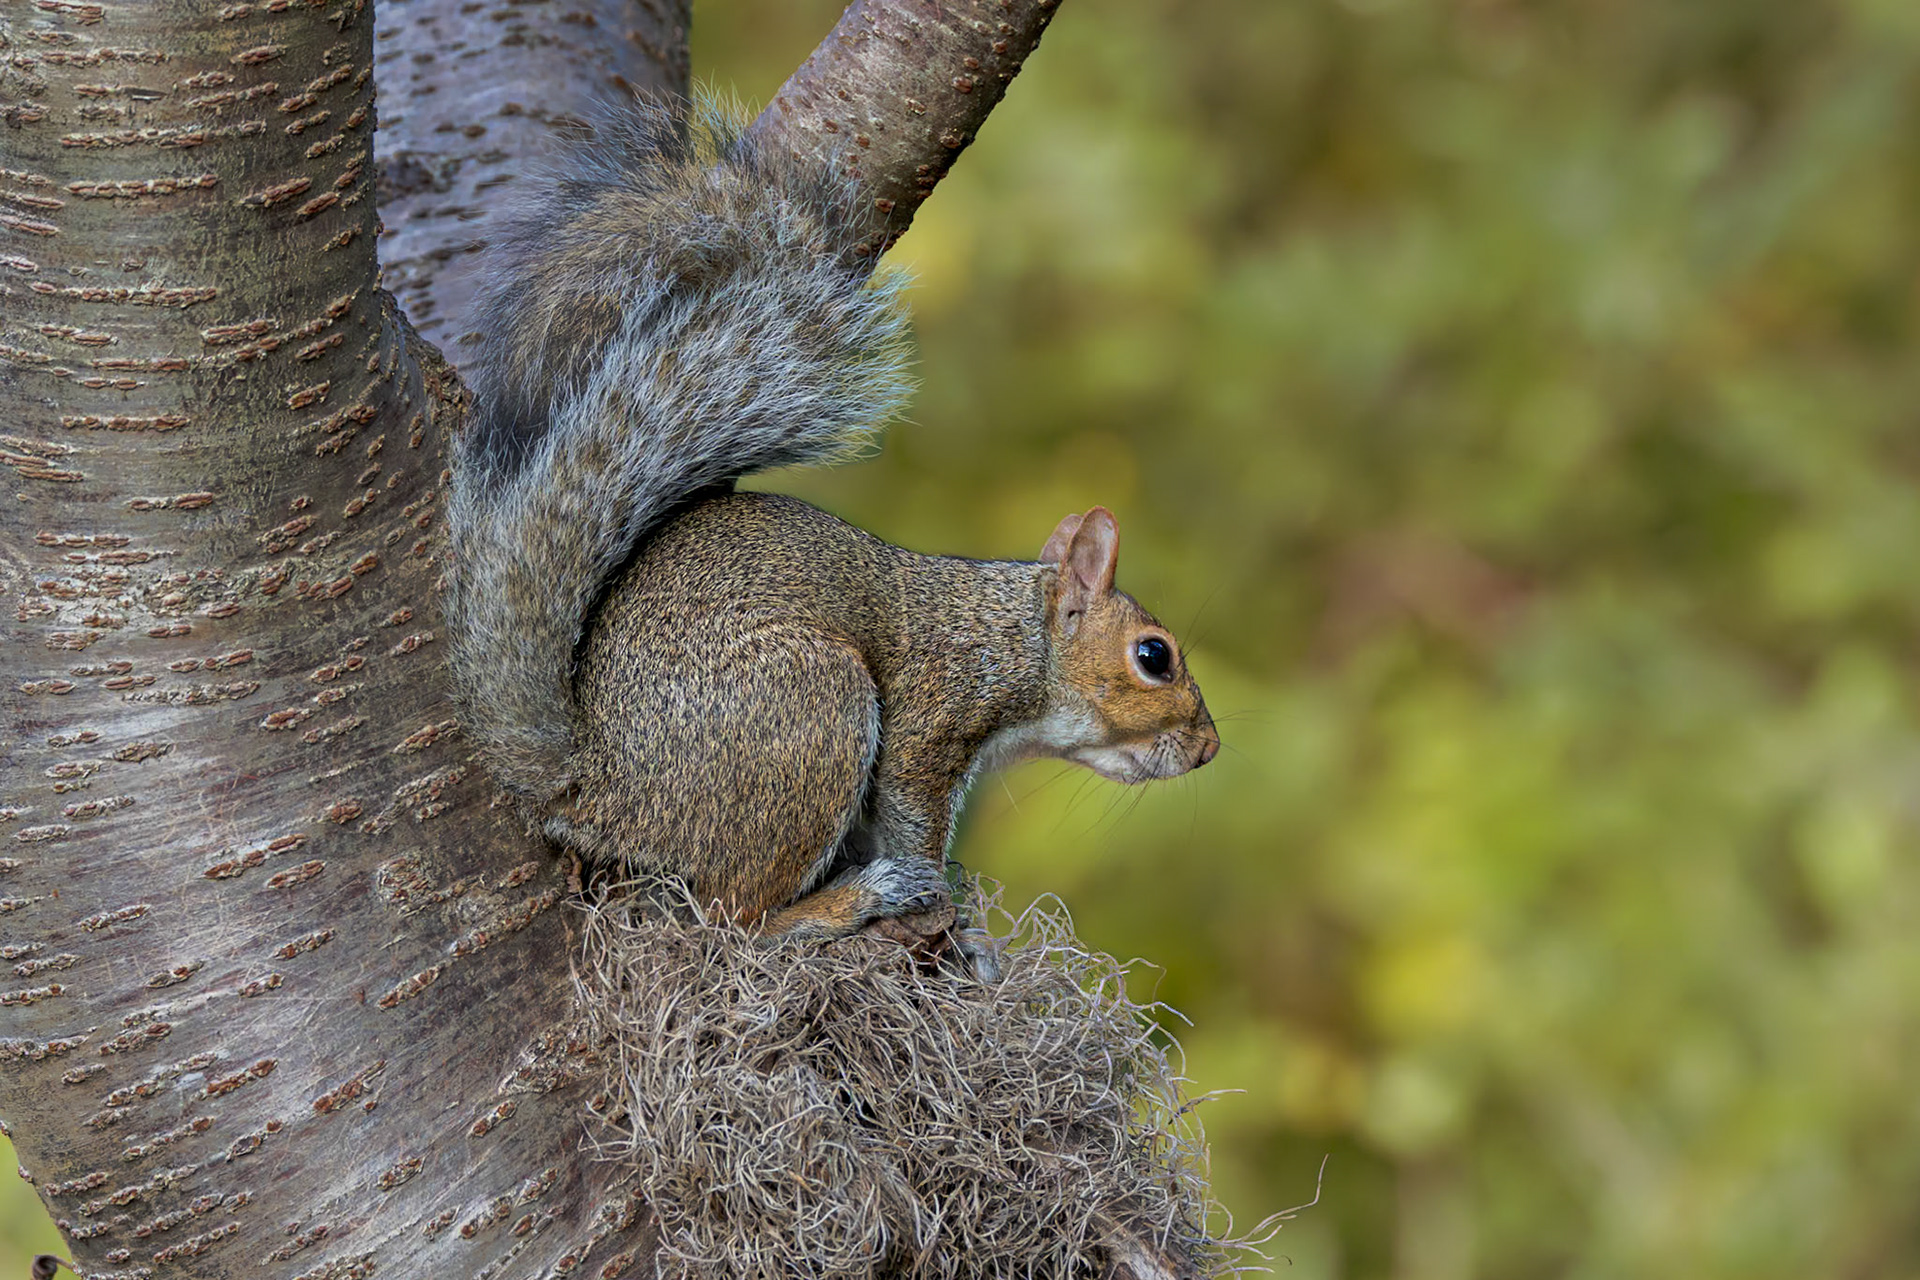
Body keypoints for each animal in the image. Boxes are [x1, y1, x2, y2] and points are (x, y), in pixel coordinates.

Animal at [445, 101, 1219, 947]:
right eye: (1154, 657)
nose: (1210, 748)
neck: (1019, 640)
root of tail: (594, 786)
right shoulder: (935, 712)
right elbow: (912, 813)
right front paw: (941, 905)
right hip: (810, 714)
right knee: (735, 919)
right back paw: (853, 899)